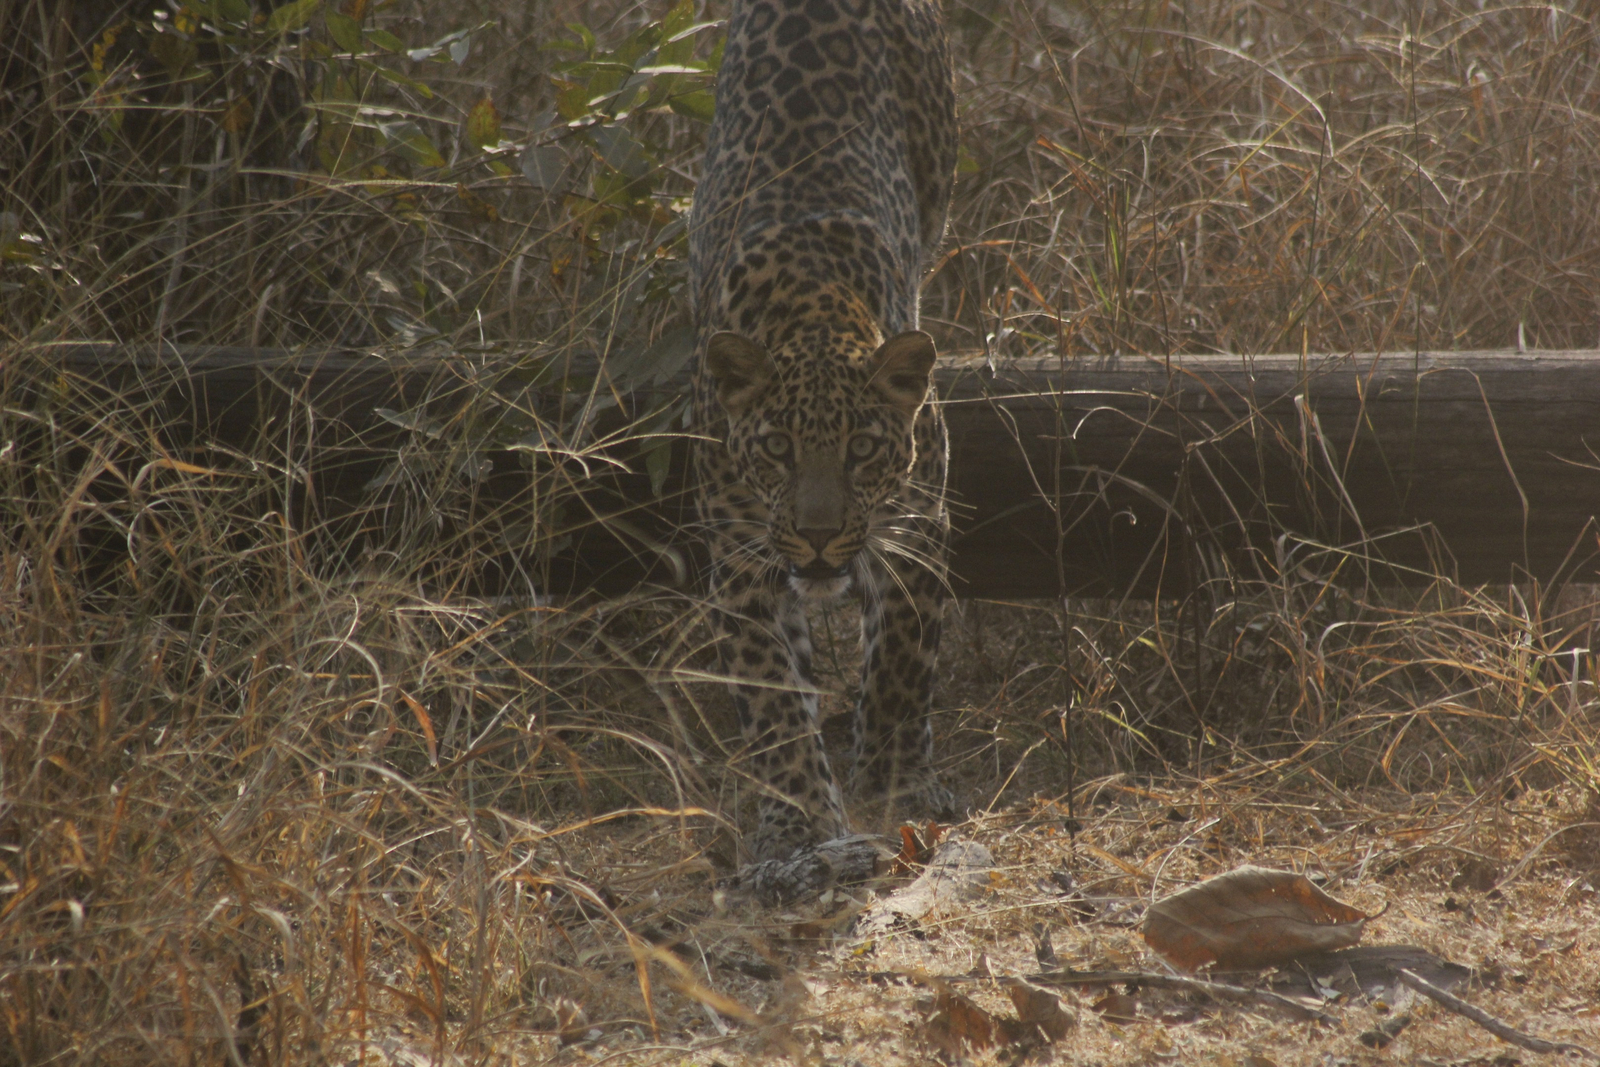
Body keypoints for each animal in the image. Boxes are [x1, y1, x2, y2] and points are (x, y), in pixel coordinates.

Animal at [687, 0, 958, 881]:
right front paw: (800, 824)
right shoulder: (741, 557)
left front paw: (896, 779)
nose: (815, 536)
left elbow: (903, 658)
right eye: (775, 449)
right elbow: (776, 703)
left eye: (862, 451)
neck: (811, 312)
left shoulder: (917, 521)